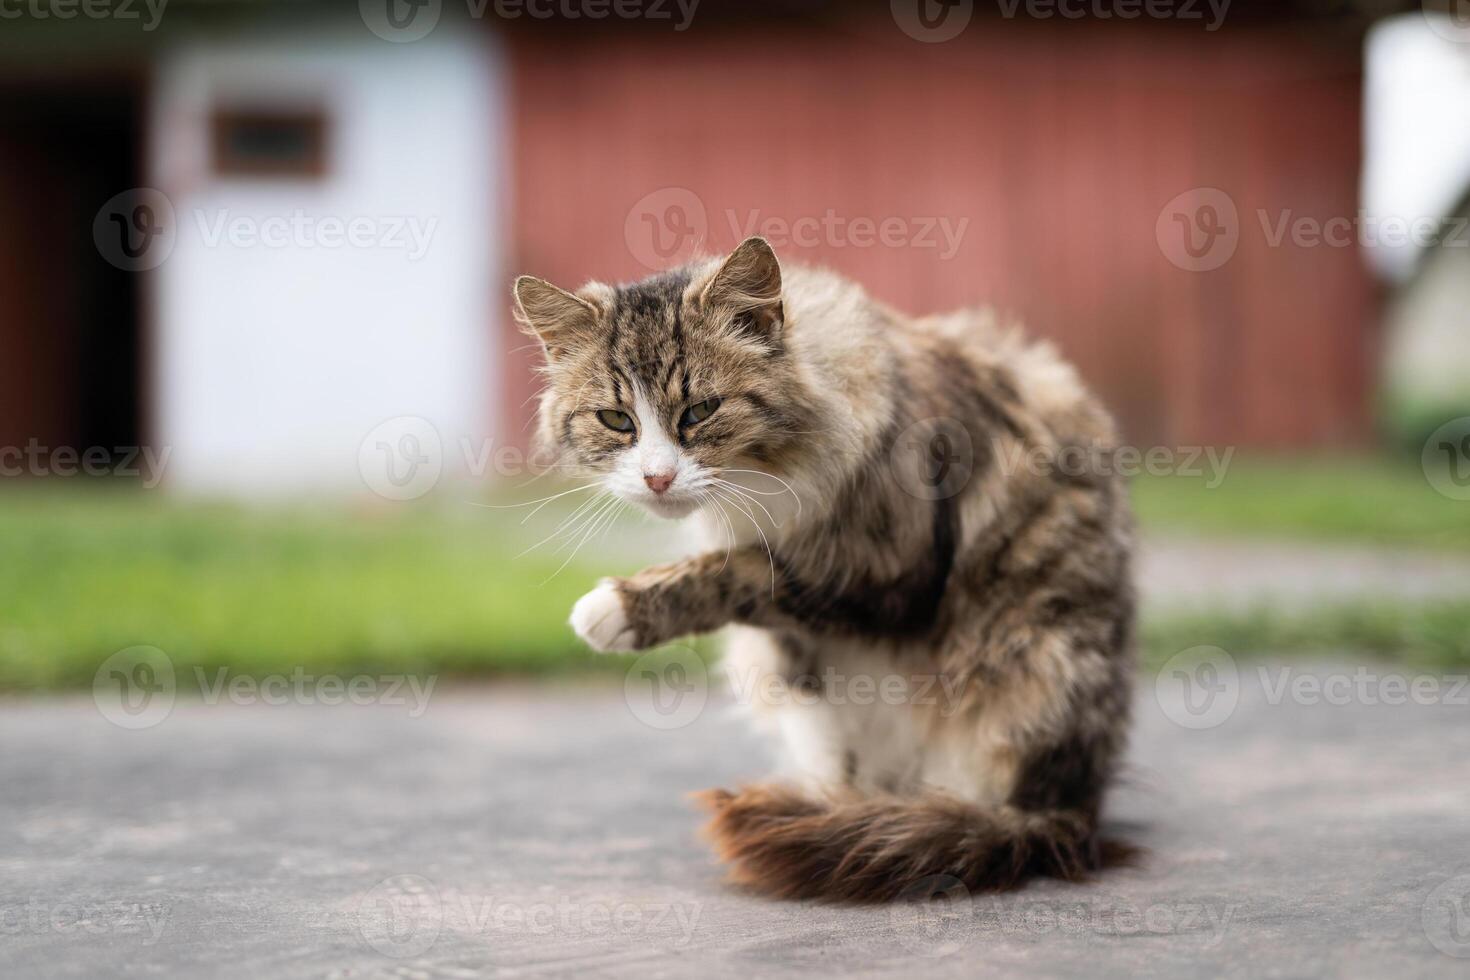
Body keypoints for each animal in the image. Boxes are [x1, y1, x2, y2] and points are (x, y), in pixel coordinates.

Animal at [514, 238, 1134, 905]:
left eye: (700, 411)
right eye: (617, 421)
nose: (657, 478)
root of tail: (1074, 815)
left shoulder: (883, 573)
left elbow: (741, 573)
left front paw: (616, 608)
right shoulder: (805, 657)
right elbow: (824, 715)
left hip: (1029, 666)